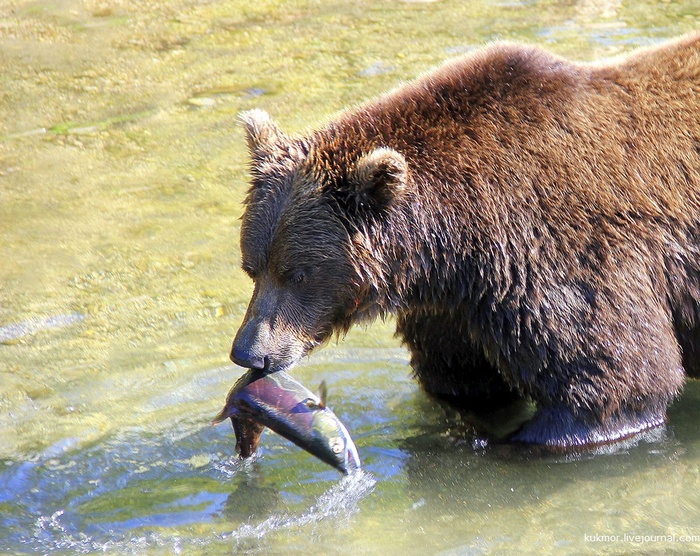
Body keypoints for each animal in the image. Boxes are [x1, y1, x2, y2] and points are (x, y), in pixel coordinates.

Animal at [231, 32, 700, 450]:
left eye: (299, 273)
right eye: (252, 267)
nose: (249, 353)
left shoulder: (563, 258)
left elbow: (611, 387)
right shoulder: (452, 309)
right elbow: (462, 382)